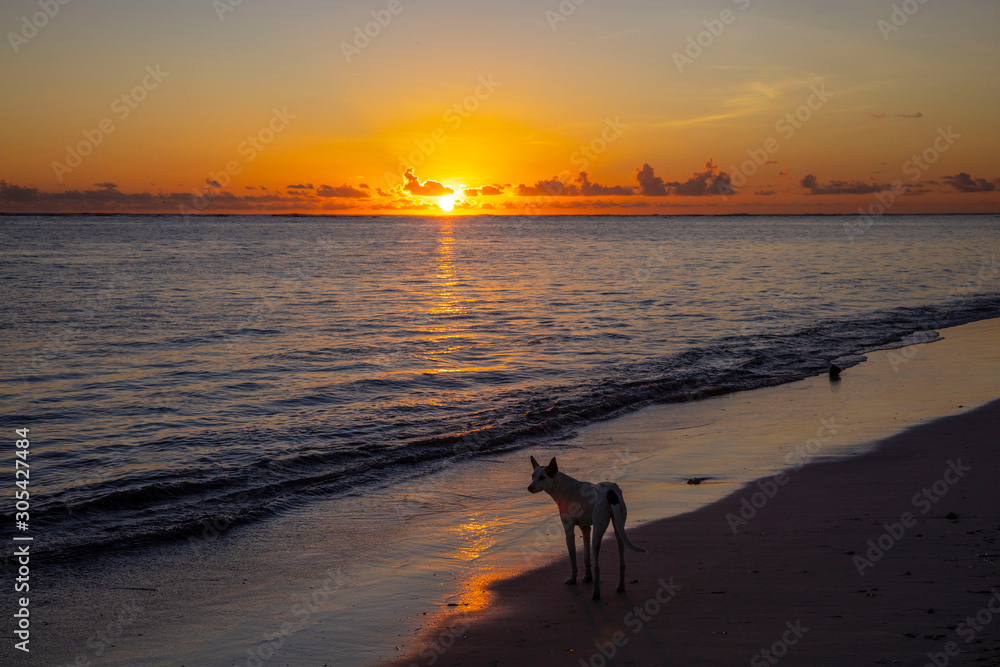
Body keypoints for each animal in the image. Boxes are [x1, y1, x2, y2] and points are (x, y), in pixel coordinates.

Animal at [528, 454, 644, 600]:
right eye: (533, 476)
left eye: (542, 477)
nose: (529, 488)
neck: (562, 486)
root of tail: (611, 492)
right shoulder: (586, 528)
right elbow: (586, 557)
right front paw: (588, 577)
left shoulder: (569, 531)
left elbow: (573, 560)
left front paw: (573, 579)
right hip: (619, 528)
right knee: (621, 562)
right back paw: (620, 587)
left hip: (598, 531)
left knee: (597, 566)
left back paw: (596, 593)